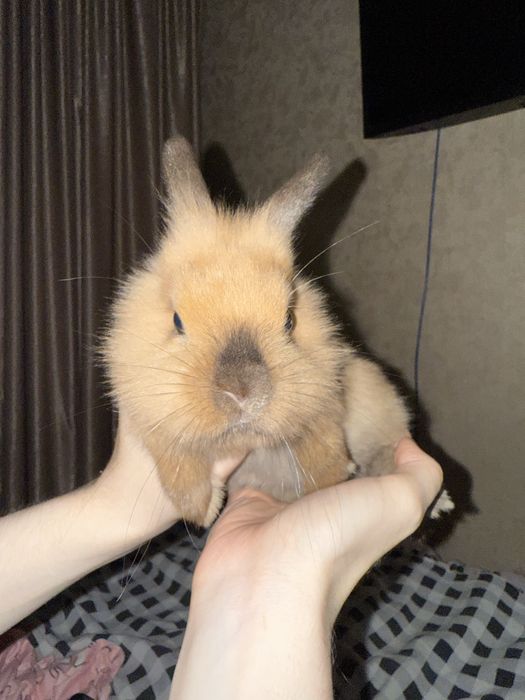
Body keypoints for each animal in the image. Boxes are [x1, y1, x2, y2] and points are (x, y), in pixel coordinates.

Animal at [103, 136, 453, 527]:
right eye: (178, 321)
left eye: (289, 320)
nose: (242, 393)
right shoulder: (148, 415)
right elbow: (177, 466)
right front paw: (204, 510)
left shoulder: (326, 389)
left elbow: (322, 439)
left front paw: (333, 476)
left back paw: (438, 502)